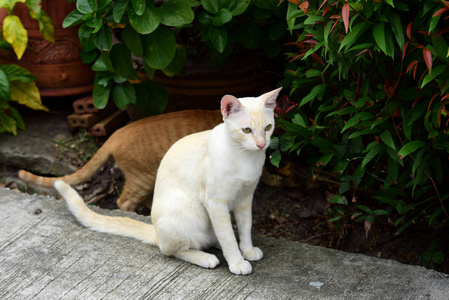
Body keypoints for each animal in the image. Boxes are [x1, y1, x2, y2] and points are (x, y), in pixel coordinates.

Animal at [54, 88, 280, 276]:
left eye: (268, 127)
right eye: (247, 130)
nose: (262, 144)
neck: (245, 158)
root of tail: (156, 230)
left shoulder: (245, 199)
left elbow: (245, 228)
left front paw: (247, 250)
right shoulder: (216, 202)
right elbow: (228, 239)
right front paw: (237, 262)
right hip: (188, 215)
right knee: (172, 249)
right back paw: (205, 257)